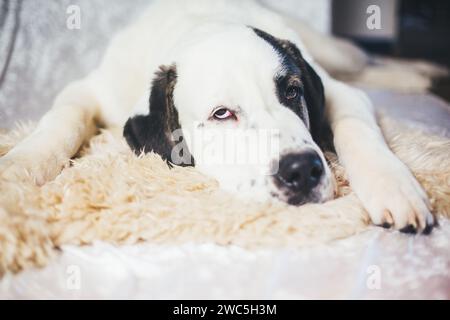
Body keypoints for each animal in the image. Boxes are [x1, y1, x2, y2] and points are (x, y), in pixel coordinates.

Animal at [0, 0, 436, 235]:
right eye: (222, 114)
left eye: (292, 92)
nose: (302, 171)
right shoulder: (93, 88)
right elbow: (63, 117)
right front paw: (20, 166)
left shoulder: (335, 90)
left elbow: (357, 128)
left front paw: (393, 187)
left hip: (330, 51)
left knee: (362, 63)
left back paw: (417, 74)